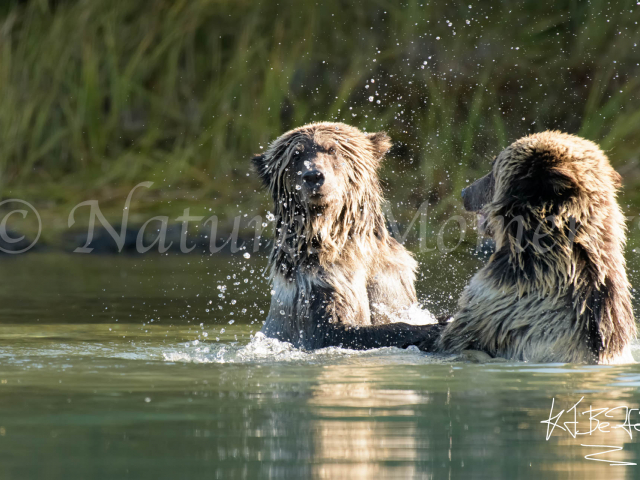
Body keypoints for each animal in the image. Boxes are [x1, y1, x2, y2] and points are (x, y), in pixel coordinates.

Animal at [252, 122, 442, 350]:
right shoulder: (317, 280)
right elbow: (333, 330)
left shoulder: (392, 273)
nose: (314, 176)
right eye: (296, 156)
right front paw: (430, 328)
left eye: (332, 149)